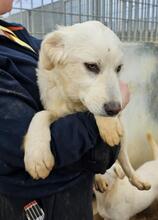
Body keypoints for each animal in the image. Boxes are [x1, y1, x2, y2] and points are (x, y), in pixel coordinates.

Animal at [23, 21, 149, 191]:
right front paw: (36, 155)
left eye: (118, 68)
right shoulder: (56, 111)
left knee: (124, 160)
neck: (75, 102)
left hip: (123, 138)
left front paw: (108, 125)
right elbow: (40, 114)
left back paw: (136, 180)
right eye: (91, 66)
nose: (115, 109)